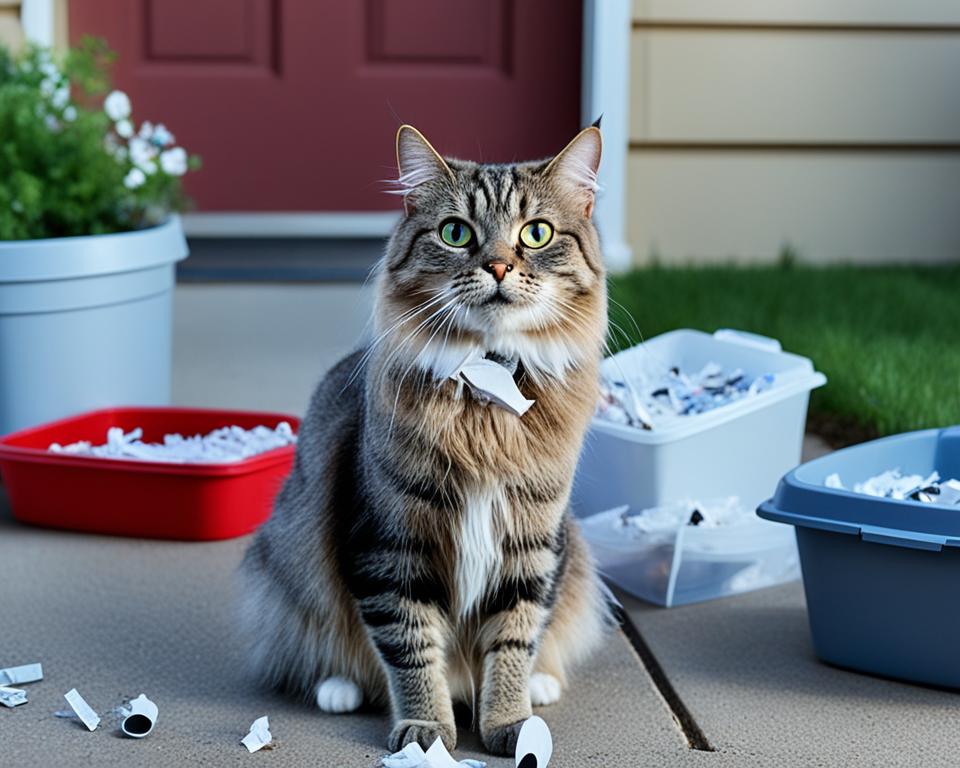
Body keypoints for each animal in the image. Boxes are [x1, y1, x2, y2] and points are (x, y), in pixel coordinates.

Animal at [240, 121, 616, 756]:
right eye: (456, 233)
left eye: (536, 233)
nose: (497, 267)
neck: (485, 401)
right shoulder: (389, 549)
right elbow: (412, 649)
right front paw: (427, 732)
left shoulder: (532, 545)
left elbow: (512, 641)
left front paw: (510, 722)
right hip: (289, 567)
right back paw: (338, 688)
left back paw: (542, 685)